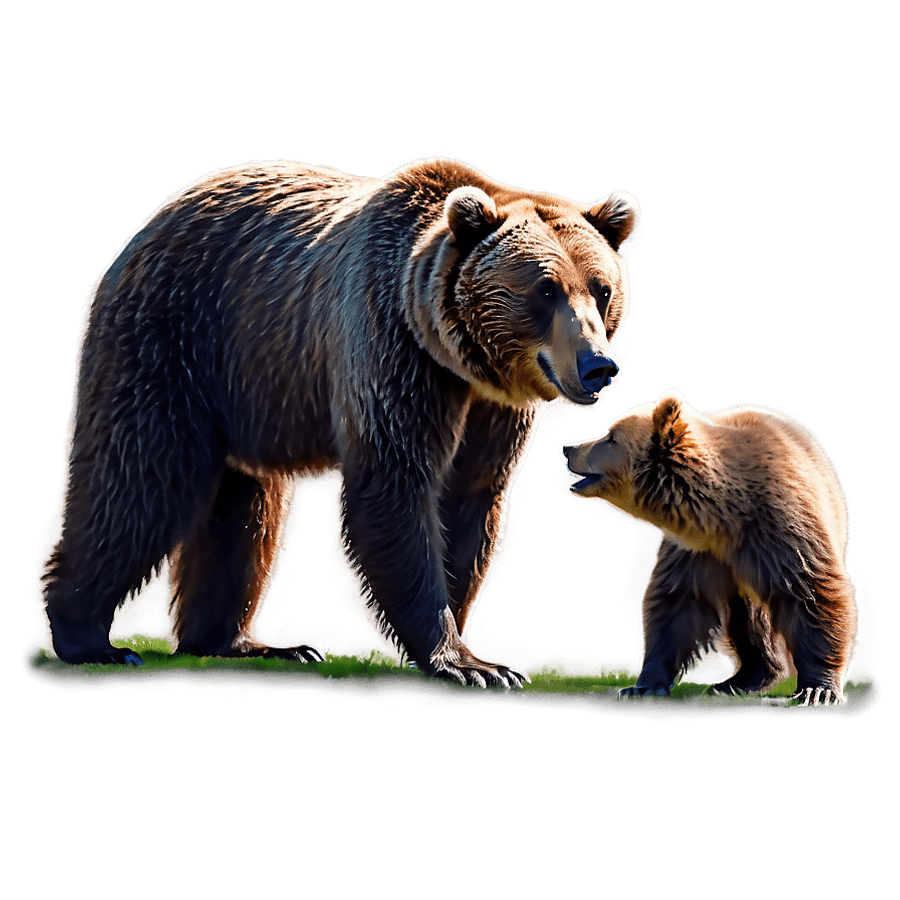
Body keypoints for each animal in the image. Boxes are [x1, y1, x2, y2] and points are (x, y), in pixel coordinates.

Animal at [36, 156, 642, 687]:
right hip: (176, 339)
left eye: (601, 289)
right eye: (545, 288)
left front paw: (468, 644)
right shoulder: (389, 349)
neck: (455, 357)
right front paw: (470, 663)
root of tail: (154, 219)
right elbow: (396, 488)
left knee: (248, 512)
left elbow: (470, 502)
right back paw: (90, 639)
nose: (598, 366)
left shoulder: (492, 410)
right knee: (140, 478)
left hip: (250, 388)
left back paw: (248, 644)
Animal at [563, 387, 859, 707]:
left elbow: (812, 594)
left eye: (611, 437)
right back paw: (741, 679)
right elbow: (677, 604)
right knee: (746, 618)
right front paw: (644, 684)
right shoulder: (695, 550)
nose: (568, 447)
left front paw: (818, 689)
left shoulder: (782, 530)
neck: (725, 516)